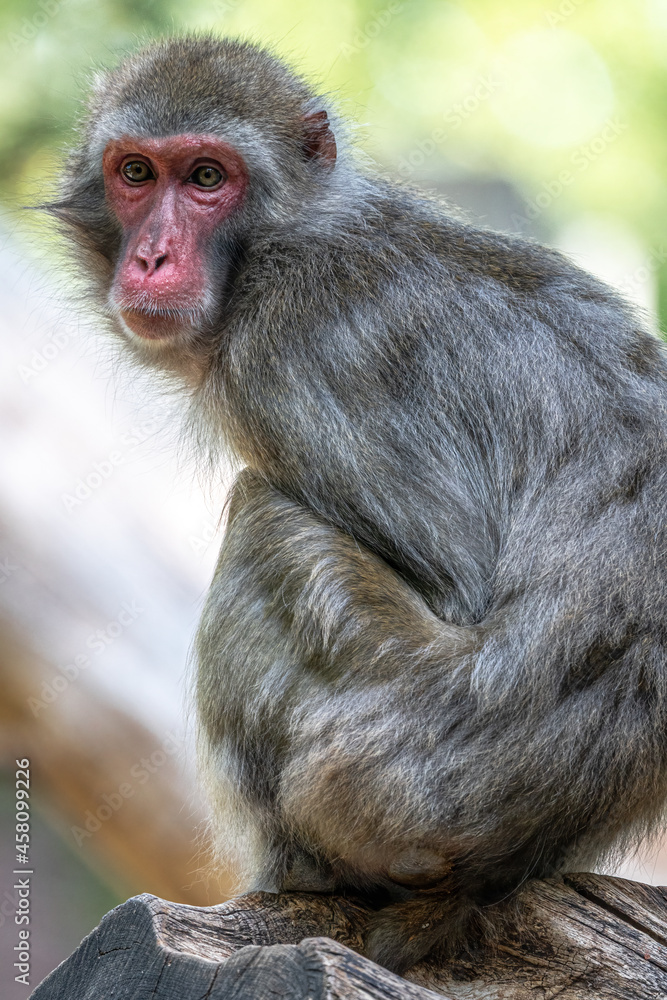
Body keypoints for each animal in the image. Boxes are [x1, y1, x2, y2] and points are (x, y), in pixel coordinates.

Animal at [44, 35, 667, 974]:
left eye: (206, 177)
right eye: (135, 173)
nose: (151, 258)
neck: (282, 243)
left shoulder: (288, 352)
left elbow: (457, 584)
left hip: (388, 782)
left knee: (263, 521)